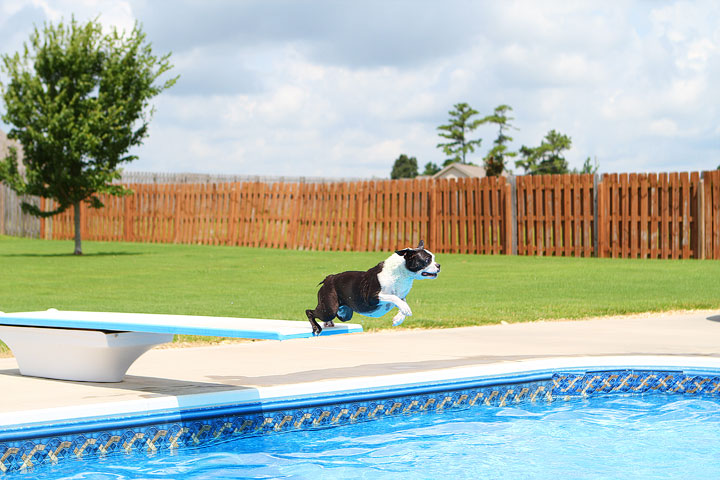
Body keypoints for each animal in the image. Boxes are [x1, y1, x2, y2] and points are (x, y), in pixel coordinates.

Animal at [304, 239, 438, 334]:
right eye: (427, 260)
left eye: (434, 259)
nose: (439, 265)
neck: (401, 274)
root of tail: (329, 278)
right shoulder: (372, 297)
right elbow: (394, 298)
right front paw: (405, 310)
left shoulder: (401, 296)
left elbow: (401, 302)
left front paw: (399, 318)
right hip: (329, 309)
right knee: (310, 311)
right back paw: (316, 328)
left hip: (343, 313)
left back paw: (327, 323)